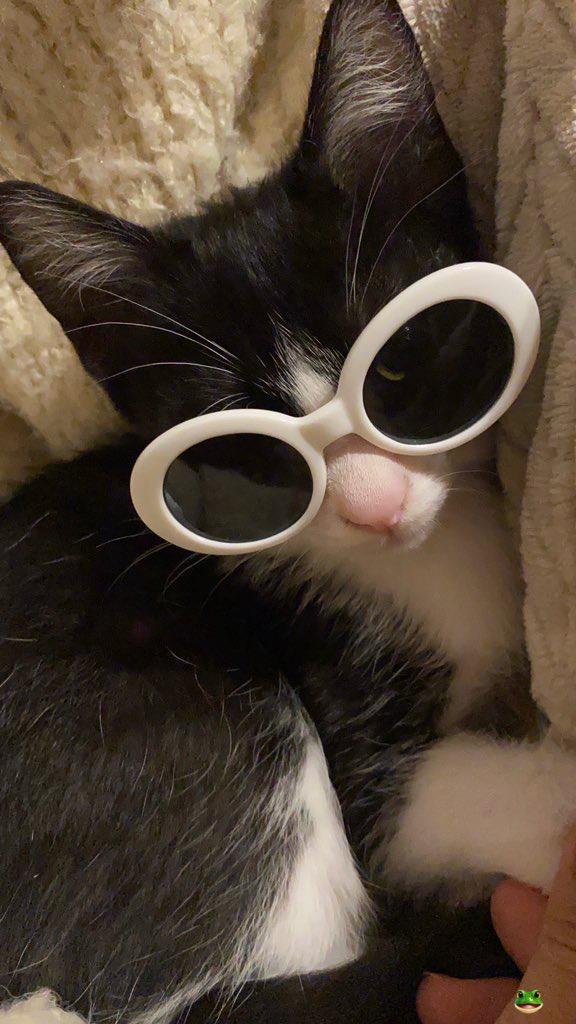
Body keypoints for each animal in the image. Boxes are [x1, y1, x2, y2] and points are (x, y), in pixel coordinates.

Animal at [0, 2, 575, 1022]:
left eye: (400, 364)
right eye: (246, 457)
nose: (375, 506)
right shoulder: (358, 747)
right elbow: (420, 798)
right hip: (201, 719)